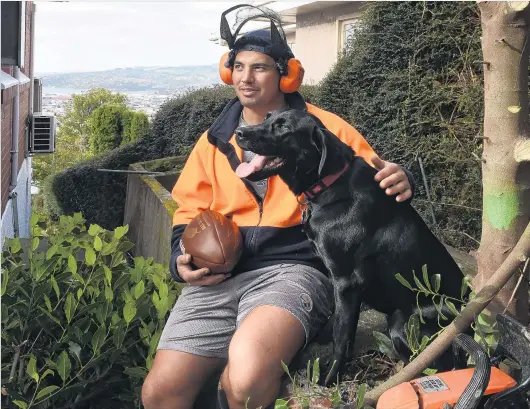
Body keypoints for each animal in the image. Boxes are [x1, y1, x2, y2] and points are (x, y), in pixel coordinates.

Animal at [233, 107, 468, 384]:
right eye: (267, 117)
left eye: (283, 127)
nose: (239, 132)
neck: (329, 183)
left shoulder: (347, 282)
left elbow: (342, 336)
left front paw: (330, 378)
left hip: (403, 323)